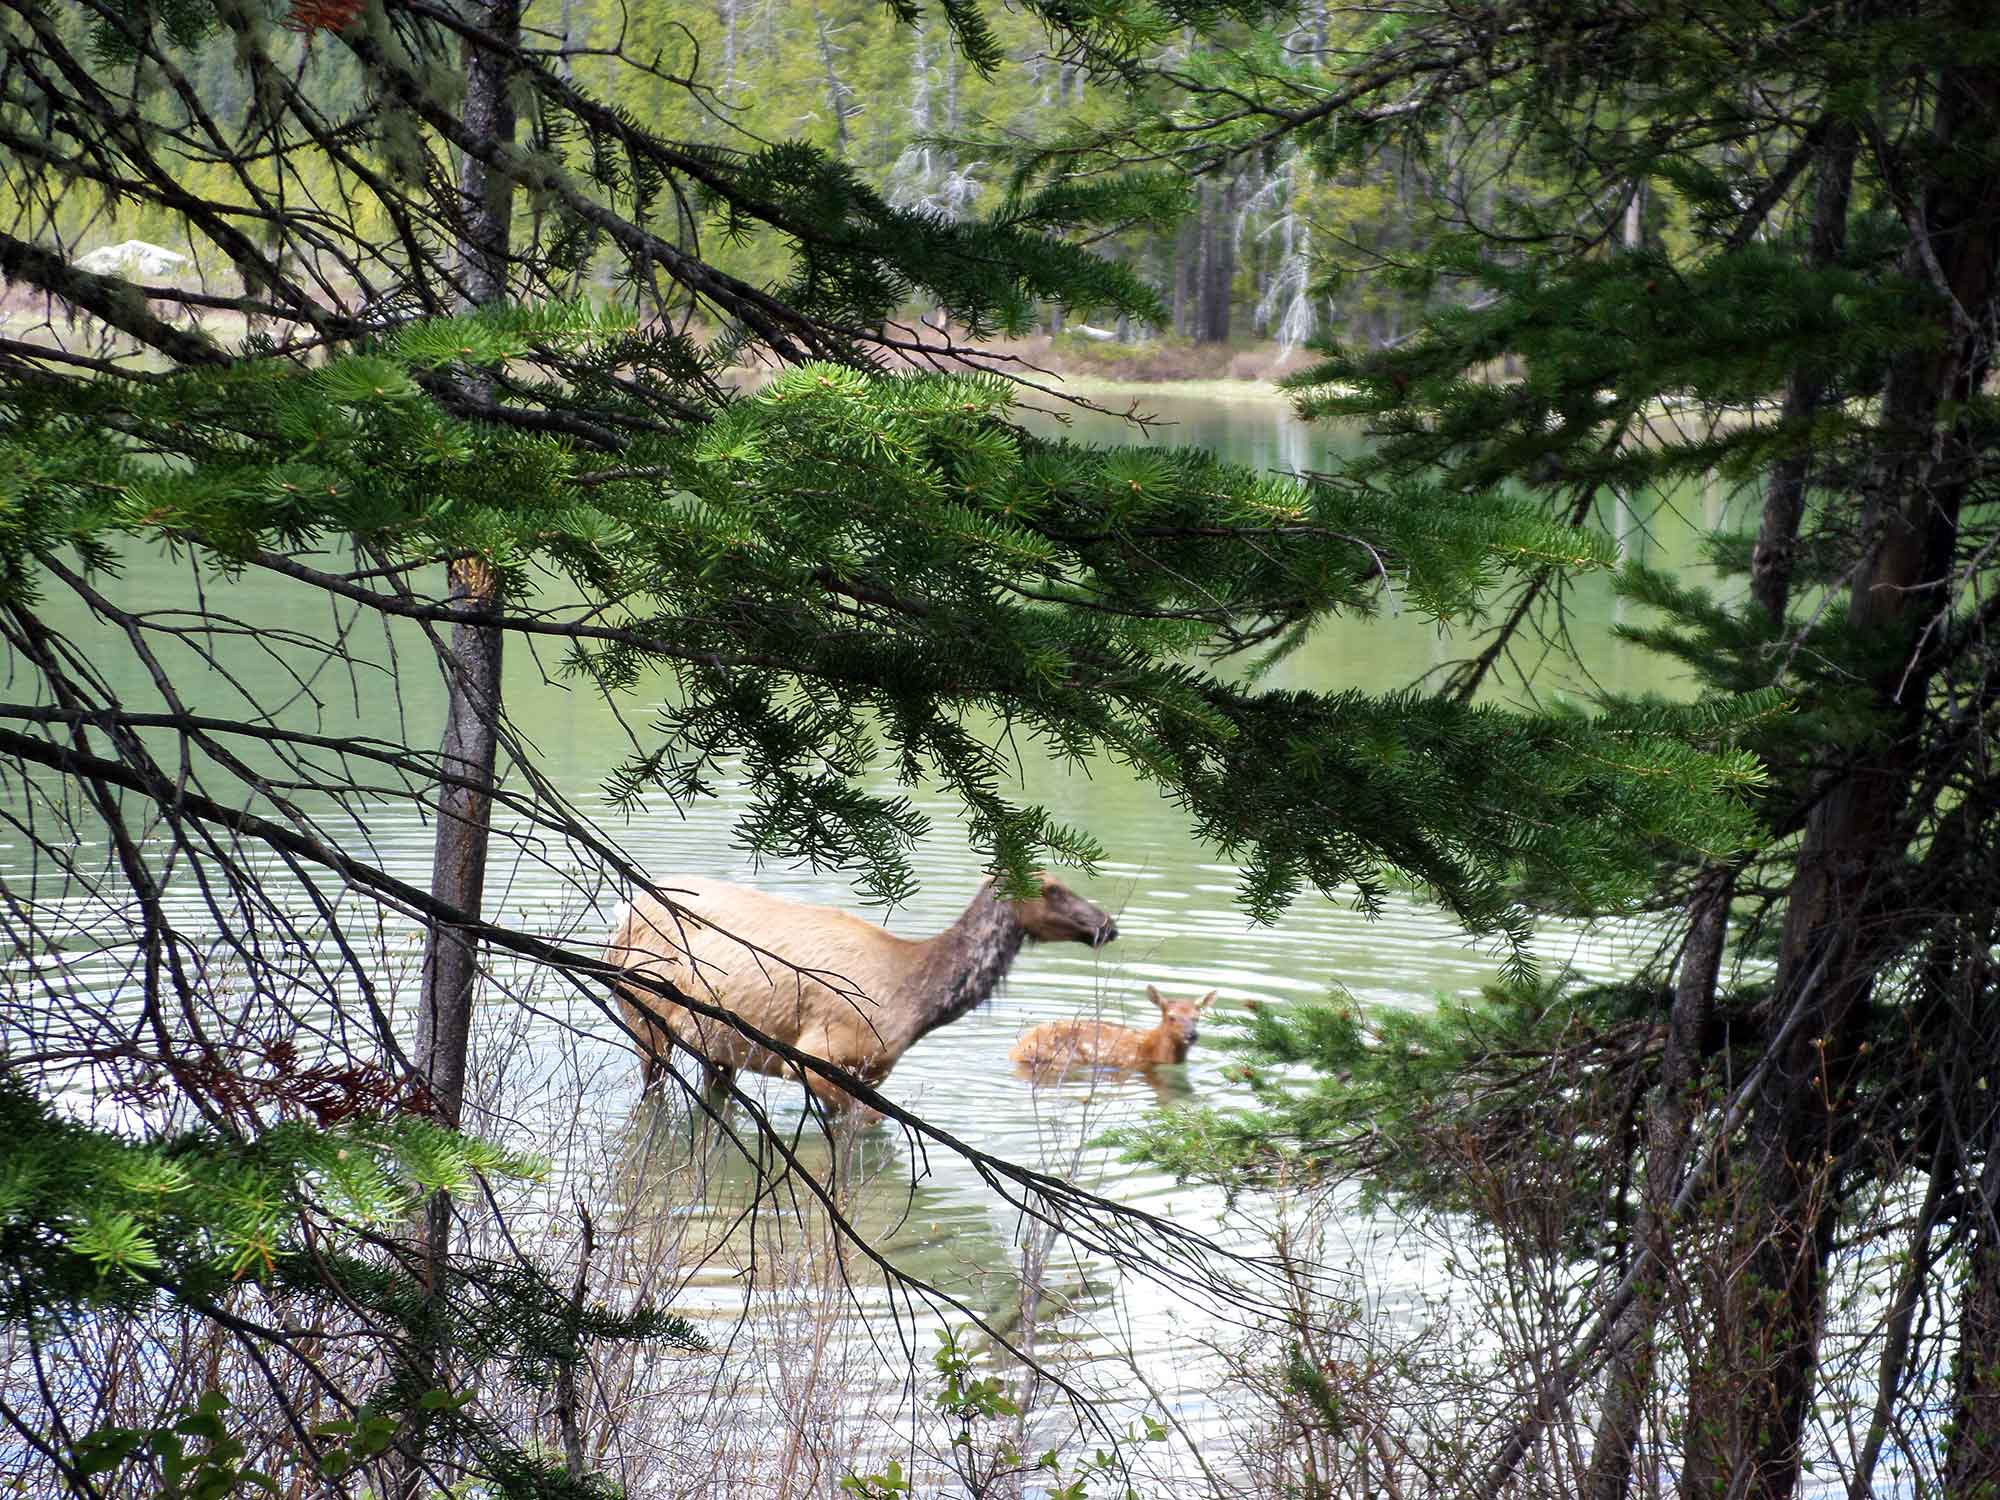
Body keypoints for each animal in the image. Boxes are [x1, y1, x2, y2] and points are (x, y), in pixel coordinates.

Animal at [606, 874, 1117, 1114]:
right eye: (1050, 888)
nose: (1107, 925)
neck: (917, 1005)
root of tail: (621, 916)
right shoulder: (818, 1054)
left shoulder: (874, 1073)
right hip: (641, 1010)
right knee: (651, 1092)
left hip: (718, 1044)